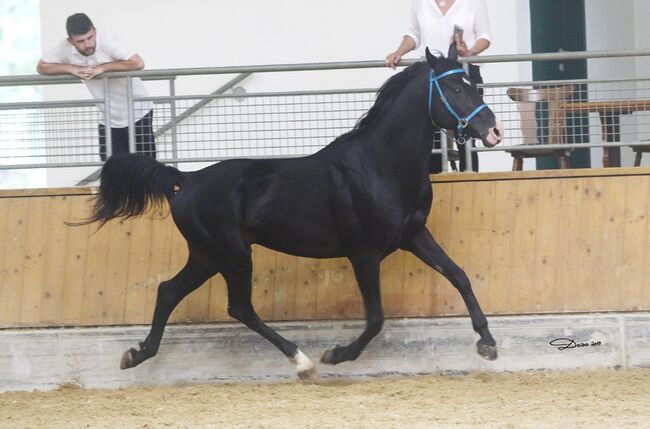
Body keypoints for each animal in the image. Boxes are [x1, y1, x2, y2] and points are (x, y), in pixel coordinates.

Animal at [85, 47, 502, 382]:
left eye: (476, 85)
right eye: (456, 89)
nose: (494, 132)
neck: (379, 165)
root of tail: (184, 179)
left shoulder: (414, 236)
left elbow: (459, 276)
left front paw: (487, 343)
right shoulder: (364, 254)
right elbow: (376, 318)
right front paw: (336, 354)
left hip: (207, 256)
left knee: (169, 291)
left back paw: (136, 354)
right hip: (232, 255)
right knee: (239, 307)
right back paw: (303, 362)